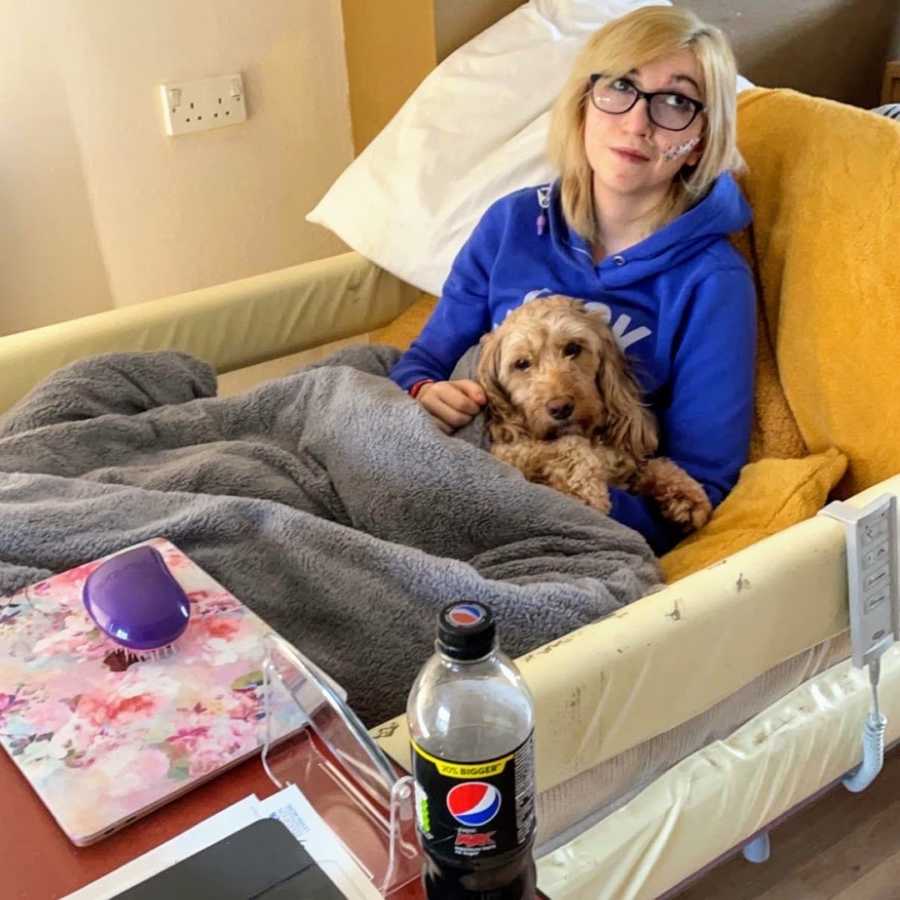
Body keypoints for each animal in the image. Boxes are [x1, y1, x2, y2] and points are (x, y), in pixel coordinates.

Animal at [478, 296, 712, 536]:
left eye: (573, 348)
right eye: (522, 364)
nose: (560, 407)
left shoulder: (625, 467)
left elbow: (654, 467)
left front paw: (686, 494)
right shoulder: (510, 452)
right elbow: (569, 445)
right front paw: (585, 493)